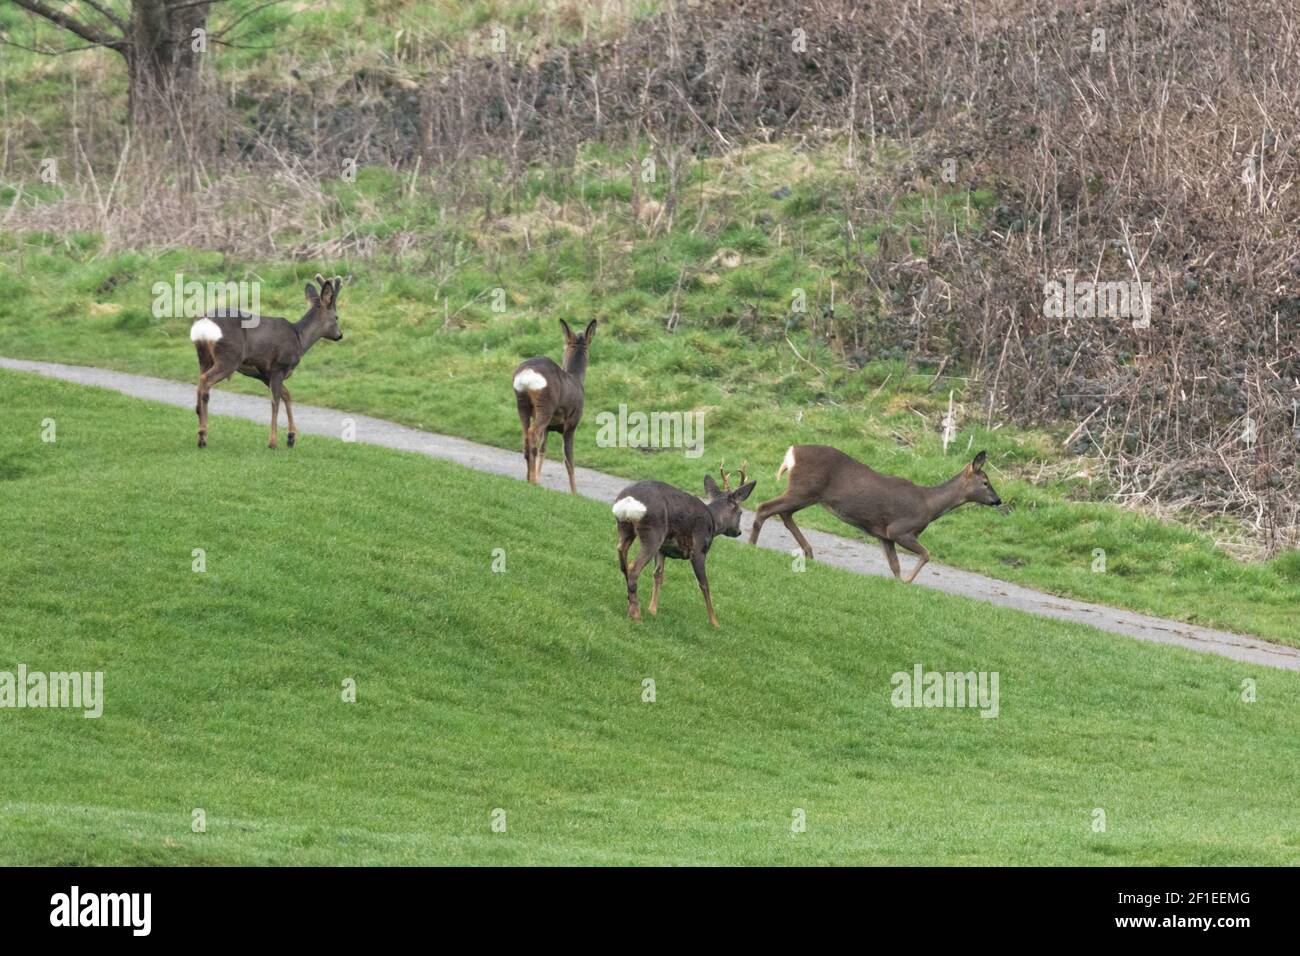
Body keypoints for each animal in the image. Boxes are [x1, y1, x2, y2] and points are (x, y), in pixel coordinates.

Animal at [189, 274, 345, 450]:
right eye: (336, 317)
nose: (340, 335)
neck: (300, 339)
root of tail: (202, 325)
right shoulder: (278, 367)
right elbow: (275, 402)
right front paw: (273, 442)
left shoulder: (265, 374)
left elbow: (287, 395)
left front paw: (291, 437)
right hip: (229, 357)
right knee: (205, 381)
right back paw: (203, 434)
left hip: (204, 358)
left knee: (199, 382)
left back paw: (199, 425)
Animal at [509, 319, 595, 489]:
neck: (576, 378)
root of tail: (527, 374)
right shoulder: (572, 424)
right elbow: (569, 461)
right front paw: (575, 492)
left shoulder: (549, 428)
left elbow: (544, 450)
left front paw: (538, 477)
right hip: (545, 406)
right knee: (532, 433)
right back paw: (533, 481)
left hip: (522, 403)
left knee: (526, 437)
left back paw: (529, 479)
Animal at [611, 463, 759, 629]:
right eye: (740, 512)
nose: (739, 532)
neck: (713, 523)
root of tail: (628, 501)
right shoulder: (699, 549)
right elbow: (704, 584)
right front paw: (714, 622)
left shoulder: (663, 550)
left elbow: (658, 575)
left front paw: (652, 609)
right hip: (653, 532)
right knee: (633, 567)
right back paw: (635, 614)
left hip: (625, 528)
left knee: (622, 558)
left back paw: (630, 603)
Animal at [748, 447, 998, 582]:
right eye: (986, 482)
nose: (998, 500)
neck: (929, 504)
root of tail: (792, 451)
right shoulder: (899, 530)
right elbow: (926, 554)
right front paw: (908, 583)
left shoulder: (884, 535)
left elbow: (895, 566)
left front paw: (899, 583)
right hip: (803, 490)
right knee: (765, 507)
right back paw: (752, 546)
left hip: (806, 494)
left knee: (784, 515)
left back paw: (809, 553)